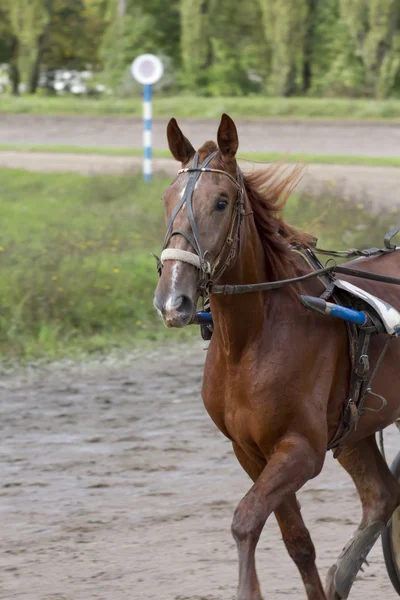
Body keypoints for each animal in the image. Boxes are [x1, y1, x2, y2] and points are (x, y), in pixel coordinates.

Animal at [153, 116, 400, 600]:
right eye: (168, 199)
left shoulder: (301, 449)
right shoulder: (251, 451)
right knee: (382, 496)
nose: (173, 299)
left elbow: (246, 520)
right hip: (356, 427)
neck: (251, 341)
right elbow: (297, 542)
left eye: (221, 202)